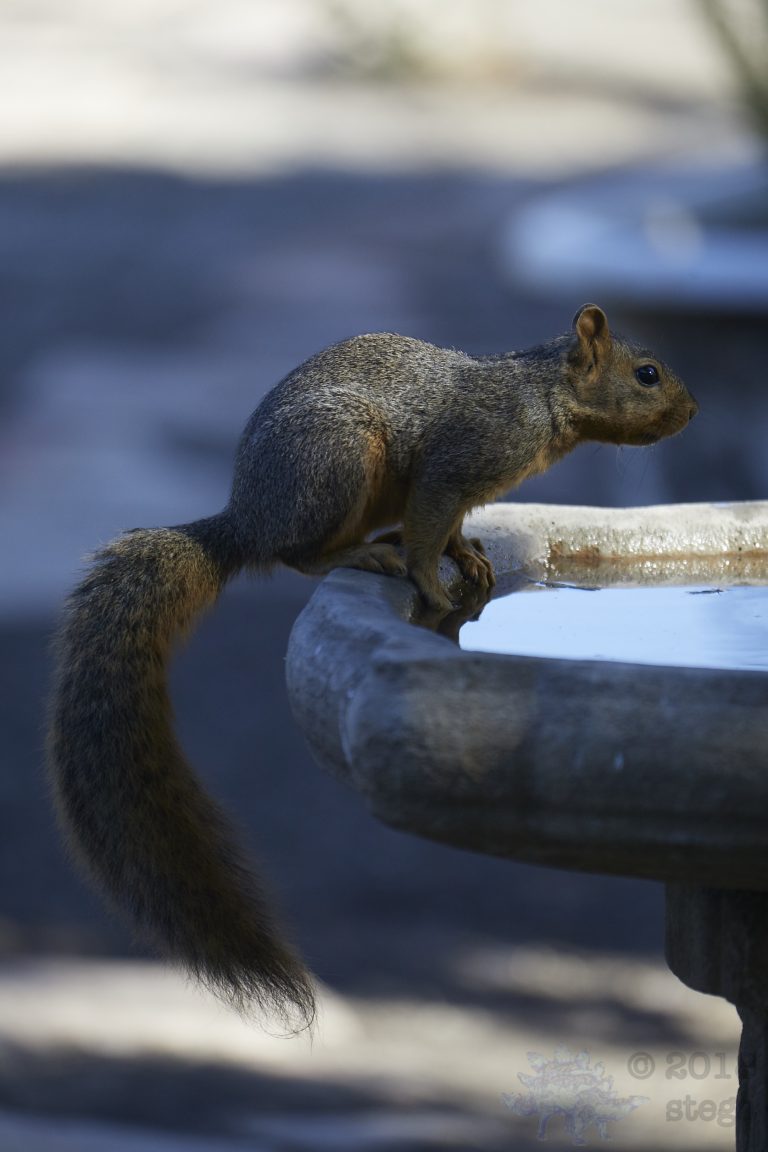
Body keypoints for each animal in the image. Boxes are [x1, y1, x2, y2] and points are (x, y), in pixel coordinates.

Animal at [48, 304, 697, 1029]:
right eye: (647, 374)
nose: (691, 410)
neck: (541, 397)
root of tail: (245, 518)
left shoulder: (459, 488)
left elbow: (447, 529)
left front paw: (468, 557)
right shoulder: (456, 462)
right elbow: (429, 529)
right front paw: (436, 588)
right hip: (337, 460)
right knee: (297, 552)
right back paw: (362, 554)